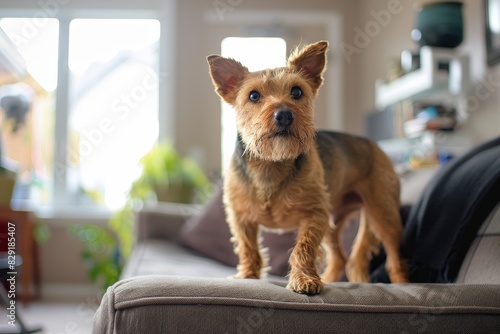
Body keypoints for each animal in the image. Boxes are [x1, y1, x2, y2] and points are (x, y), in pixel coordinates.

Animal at [206, 40, 406, 294]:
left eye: (297, 91)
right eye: (253, 95)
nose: (284, 114)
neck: (271, 163)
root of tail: (374, 145)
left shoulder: (314, 215)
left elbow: (303, 248)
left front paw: (304, 279)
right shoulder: (241, 218)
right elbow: (248, 248)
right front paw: (248, 275)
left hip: (383, 214)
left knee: (393, 260)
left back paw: (404, 284)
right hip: (334, 222)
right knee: (340, 258)